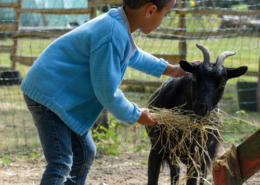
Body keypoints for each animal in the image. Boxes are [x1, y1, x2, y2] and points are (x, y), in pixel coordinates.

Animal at [146, 44, 248, 185]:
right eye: (194, 77)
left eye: (223, 83)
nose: (202, 107)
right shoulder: (156, 149)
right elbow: (153, 179)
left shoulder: (196, 155)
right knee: (175, 171)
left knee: (200, 174)